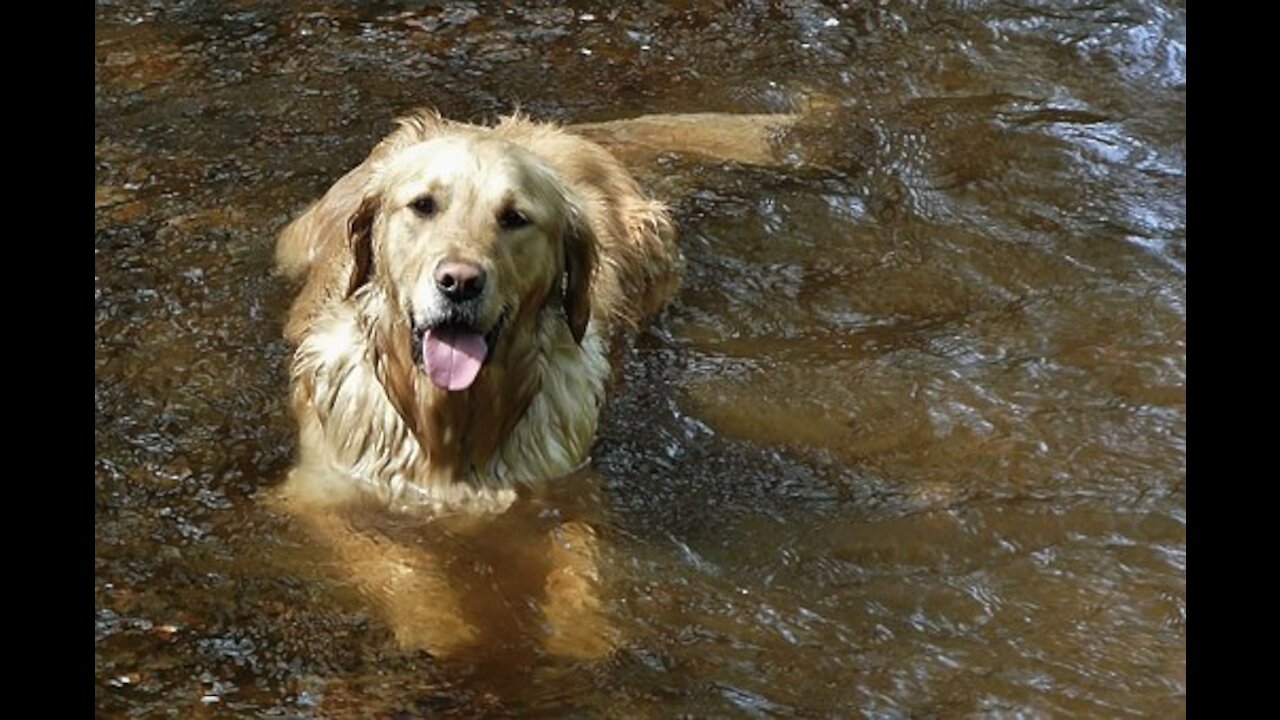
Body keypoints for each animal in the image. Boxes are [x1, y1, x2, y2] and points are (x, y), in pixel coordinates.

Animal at [273, 105, 798, 655]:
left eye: (514, 219)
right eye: (423, 206)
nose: (459, 282)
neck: (452, 419)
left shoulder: (570, 488)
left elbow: (583, 557)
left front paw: (581, 627)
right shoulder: (319, 494)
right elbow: (391, 559)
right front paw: (438, 621)